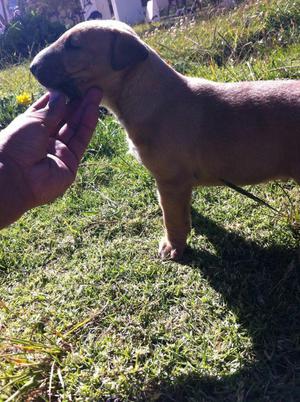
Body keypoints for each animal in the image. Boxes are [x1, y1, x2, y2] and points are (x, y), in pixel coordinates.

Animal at [29, 20, 300, 260]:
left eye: (74, 45)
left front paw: (173, 247)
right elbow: (177, 212)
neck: (151, 96)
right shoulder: (177, 184)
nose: (32, 67)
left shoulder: (171, 181)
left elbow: (170, 217)